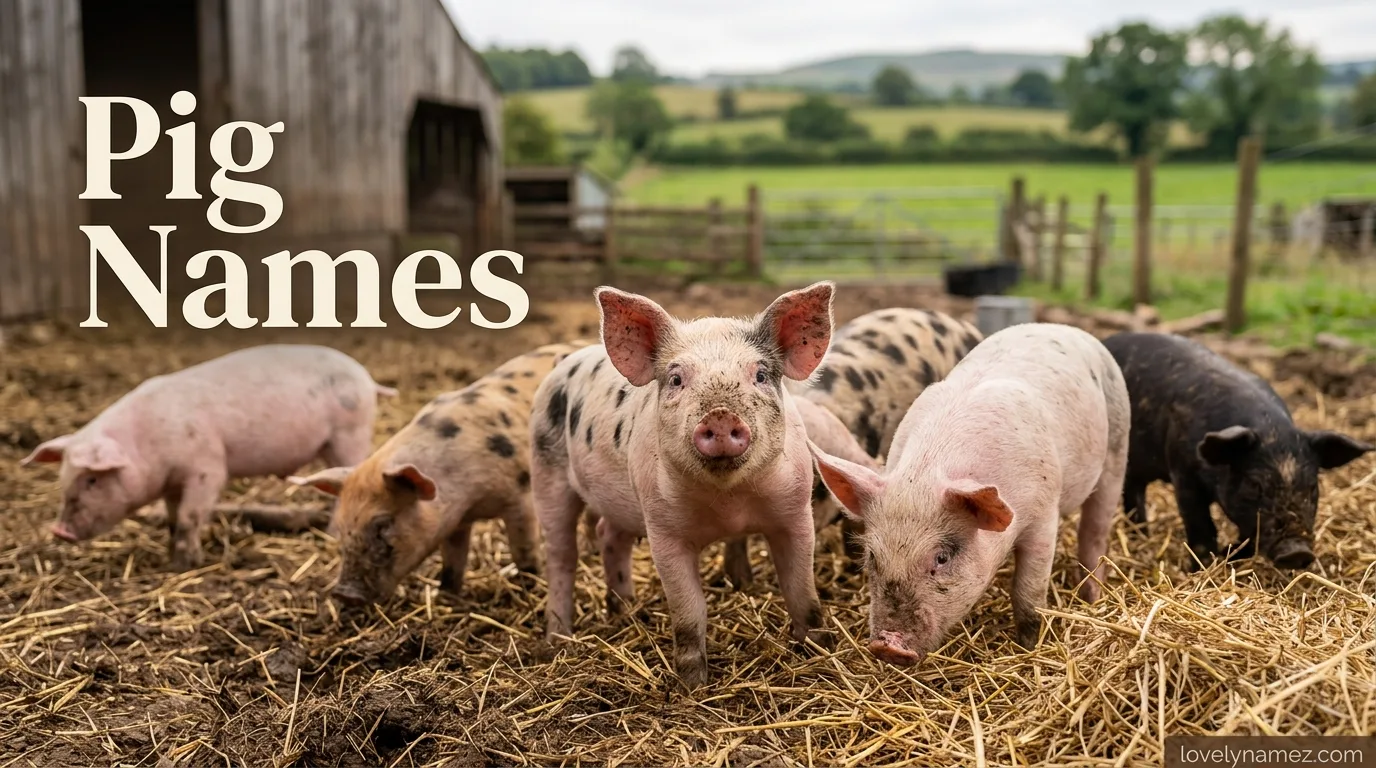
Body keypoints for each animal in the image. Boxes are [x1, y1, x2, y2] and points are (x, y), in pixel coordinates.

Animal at [21, 345, 393, 570]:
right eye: (63, 478)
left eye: (93, 479)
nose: (59, 531)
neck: (148, 443)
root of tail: (367, 378)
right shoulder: (172, 482)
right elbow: (174, 517)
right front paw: (172, 557)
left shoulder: (207, 467)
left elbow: (190, 515)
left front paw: (187, 564)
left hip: (351, 431)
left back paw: (331, 534)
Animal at [292, 342, 590, 605]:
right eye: (342, 528)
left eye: (383, 524)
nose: (344, 594)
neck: (472, 499)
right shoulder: (454, 521)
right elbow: (452, 560)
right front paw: (445, 596)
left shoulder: (520, 498)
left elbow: (523, 549)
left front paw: (528, 583)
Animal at [530, 283, 836, 687]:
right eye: (676, 379)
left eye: (760, 375)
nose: (720, 416)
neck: (730, 503)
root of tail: (563, 362)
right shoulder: (664, 531)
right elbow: (689, 613)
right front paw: (693, 686)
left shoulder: (794, 513)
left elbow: (802, 592)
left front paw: (820, 651)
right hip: (546, 468)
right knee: (561, 555)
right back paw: (557, 638)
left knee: (609, 534)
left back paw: (626, 612)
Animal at [811, 323, 1129, 665]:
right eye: (872, 556)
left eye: (942, 557)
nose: (888, 646)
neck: (927, 472)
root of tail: (1059, 327)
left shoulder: (1044, 513)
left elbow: (1028, 593)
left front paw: (1028, 647)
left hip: (1117, 447)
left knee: (1095, 531)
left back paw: (1092, 596)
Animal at [1103, 332, 1372, 569]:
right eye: (1255, 484)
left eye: (1312, 487)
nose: (1297, 551)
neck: (1271, 430)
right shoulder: (1183, 472)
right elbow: (1200, 525)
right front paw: (1203, 566)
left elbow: (1249, 538)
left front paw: (1228, 555)